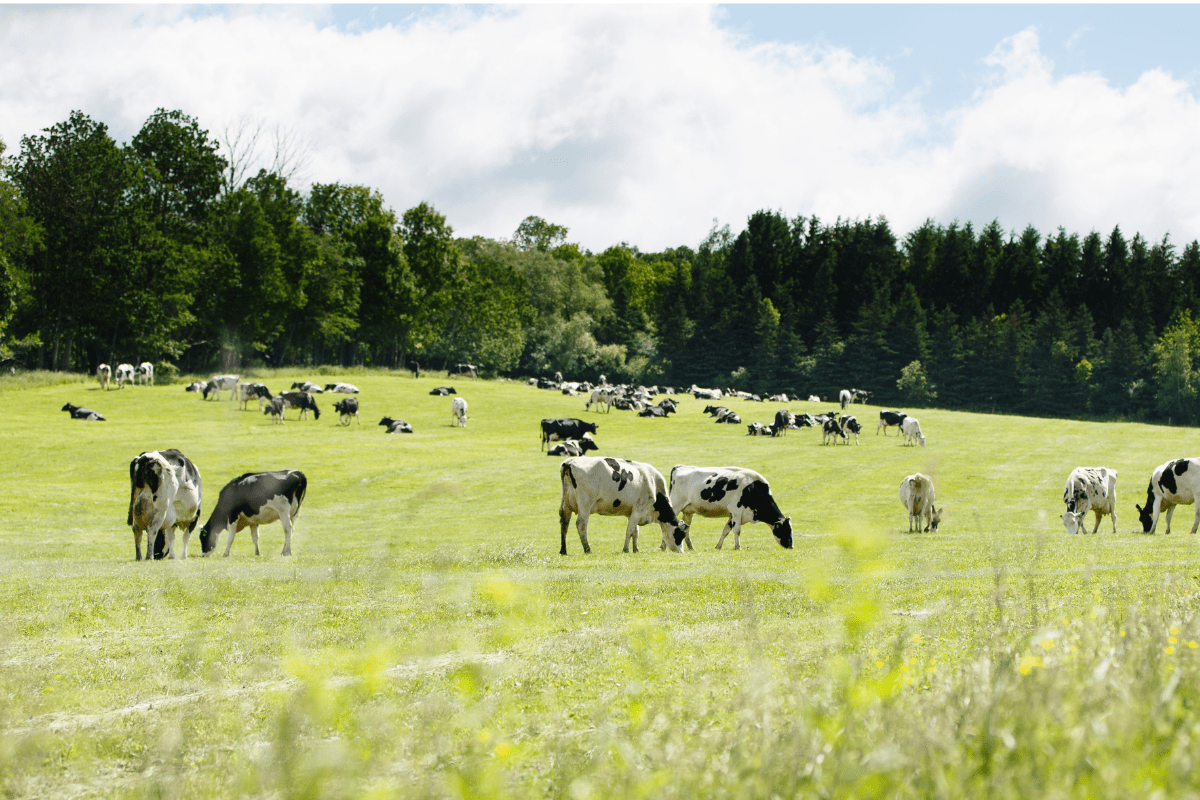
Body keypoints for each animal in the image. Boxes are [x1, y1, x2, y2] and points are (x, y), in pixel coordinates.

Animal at [556, 455, 691, 556]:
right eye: (680, 535)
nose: (681, 552)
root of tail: (570, 462)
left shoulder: (631, 513)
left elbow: (635, 532)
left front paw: (635, 549)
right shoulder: (638, 509)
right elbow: (629, 531)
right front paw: (626, 549)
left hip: (566, 504)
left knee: (564, 523)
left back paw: (563, 550)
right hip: (585, 503)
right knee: (581, 524)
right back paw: (587, 549)